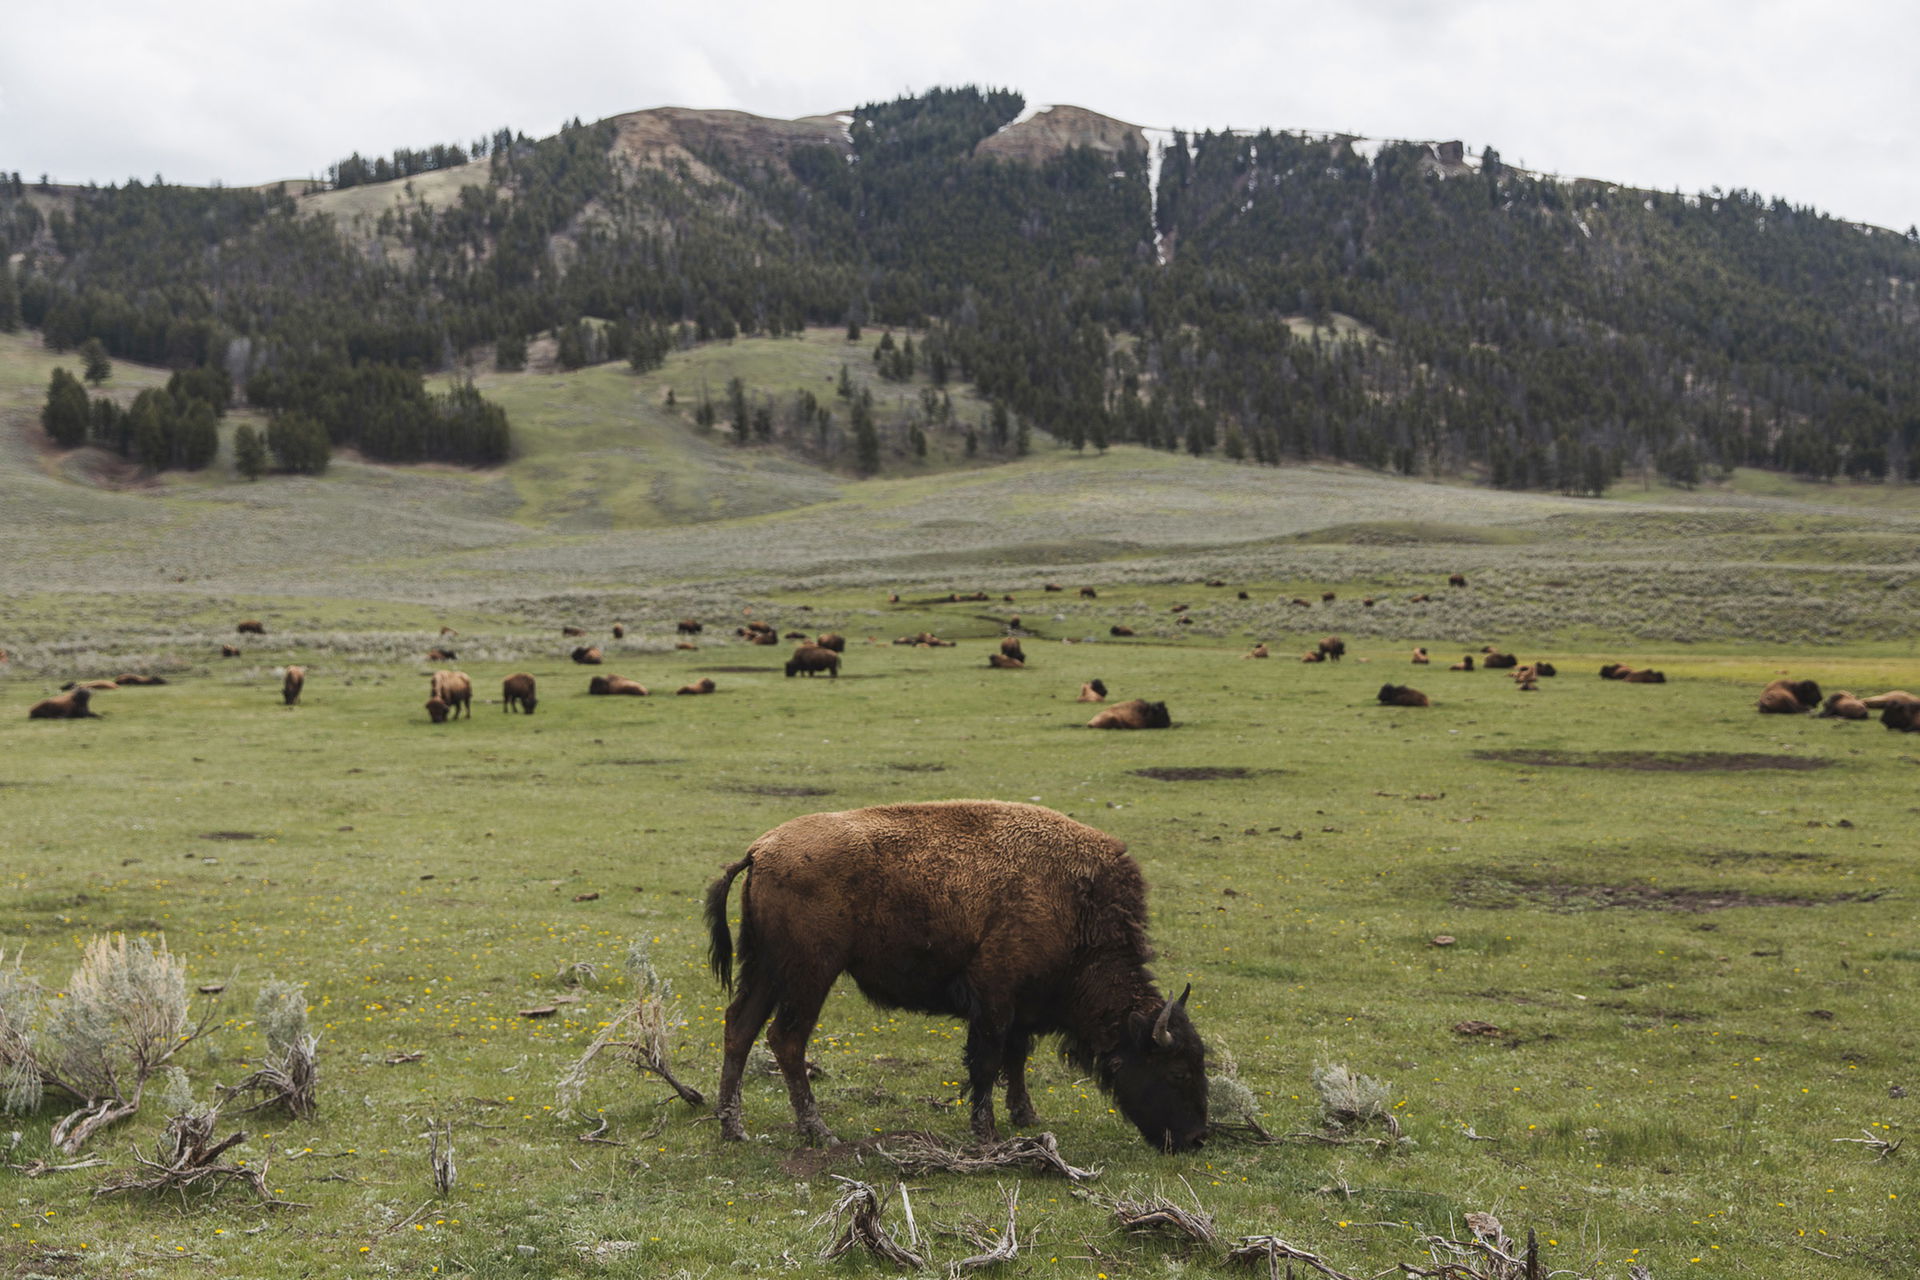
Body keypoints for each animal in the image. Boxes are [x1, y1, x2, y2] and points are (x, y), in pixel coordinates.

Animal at [706, 802, 1205, 1151]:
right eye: (1178, 1071)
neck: (1074, 906)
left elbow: (1015, 1059)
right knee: (786, 1039)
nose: (1197, 1138)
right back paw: (819, 1132)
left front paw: (1026, 1116)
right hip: (810, 974)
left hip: (766, 970)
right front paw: (987, 1133)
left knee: (740, 1027)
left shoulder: (1020, 1006)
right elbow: (986, 1063)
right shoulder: (993, 998)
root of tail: (761, 850)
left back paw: (733, 1128)